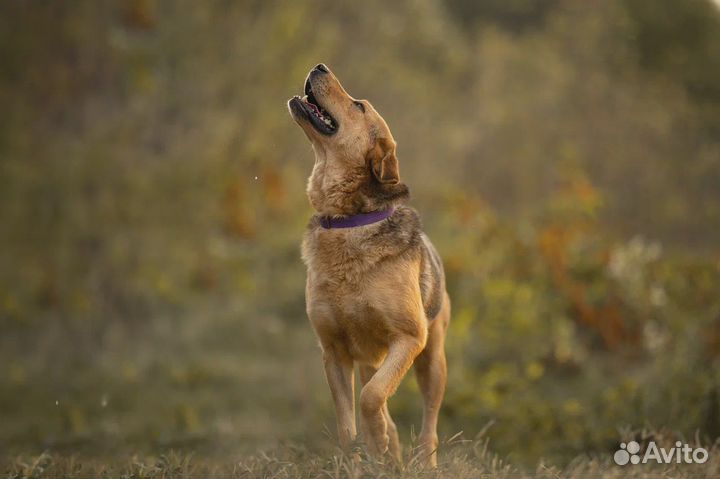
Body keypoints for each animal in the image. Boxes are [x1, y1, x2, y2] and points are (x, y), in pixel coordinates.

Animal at [286, 63, 450, 468]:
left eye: (359, 105)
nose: (319, 65)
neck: (348, 221)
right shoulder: (334, 352)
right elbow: (348, 425)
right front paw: (360, 463)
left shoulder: (409, 338)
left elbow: (371, 398)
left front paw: (378, 442)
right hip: (369, 360)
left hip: (432, 361)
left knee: (429, 423)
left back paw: (422, 461)